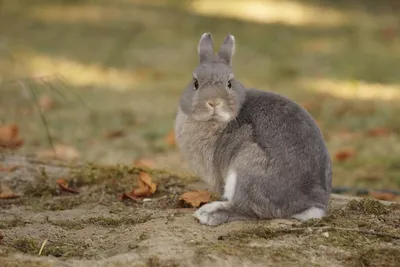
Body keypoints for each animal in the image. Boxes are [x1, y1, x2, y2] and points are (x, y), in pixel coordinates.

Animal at [174, 32, 332, 227]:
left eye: (229, 83)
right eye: (195, 83)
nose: (213, 102)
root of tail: (311, 205)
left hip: (245, 168)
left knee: (248, 210)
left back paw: (207, 214)